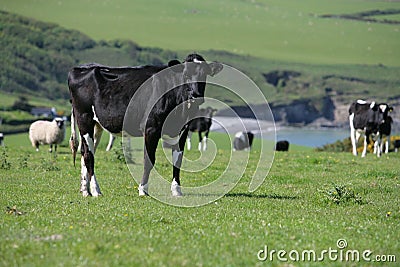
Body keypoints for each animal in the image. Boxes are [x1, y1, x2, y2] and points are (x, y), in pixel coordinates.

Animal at [69, 53, 225, 198]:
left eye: (204, 74)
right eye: (186, 74)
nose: (196, 95)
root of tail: (82, 68)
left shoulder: (182, 130)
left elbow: (178, 161)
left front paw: (176, 190)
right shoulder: (151, 129)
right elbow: (149, 160)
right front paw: (143, 190)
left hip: (96, 125)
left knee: (85, 152)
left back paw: (85, 190)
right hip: (84, 118)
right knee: (88, 155)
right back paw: (96, 190)